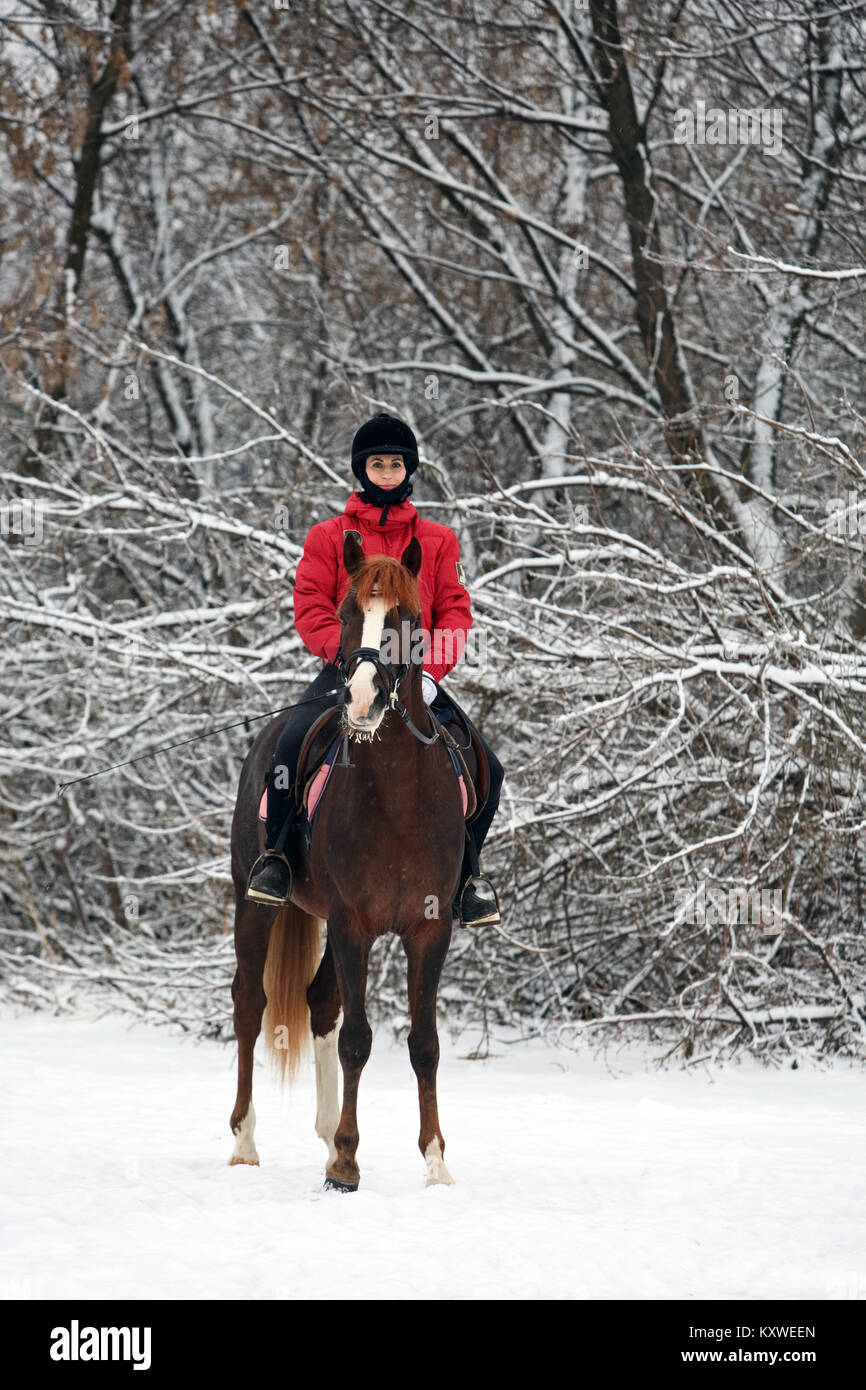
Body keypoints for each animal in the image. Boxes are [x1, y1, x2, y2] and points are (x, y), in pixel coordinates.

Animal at [226, 536, 464, 1189]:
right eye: (345, 614)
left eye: (408, 619)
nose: (360, 698)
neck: (399, 795)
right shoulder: (353, 924)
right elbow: (358, 1038)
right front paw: (347, 1166)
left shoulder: (430, 929)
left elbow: (424, 1043)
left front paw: (436, 1162)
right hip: (255, 906)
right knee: (250, 1005)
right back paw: (245, 1141)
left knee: (320, 1003)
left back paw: (327, 1131)